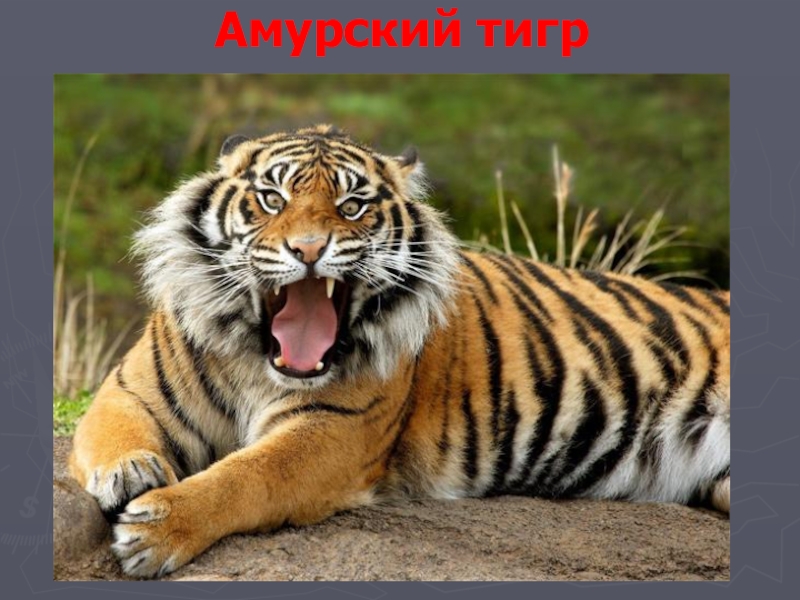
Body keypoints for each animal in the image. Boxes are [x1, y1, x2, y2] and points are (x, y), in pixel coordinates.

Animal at [68, 124, 730, 579]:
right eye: (273, 200)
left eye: (352, 206)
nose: (309, 249)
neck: (257, 359)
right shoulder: (128, 388)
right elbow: (111, 433)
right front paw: (131, 473)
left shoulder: (333, 431)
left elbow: (246, 475)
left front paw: (157, 529)